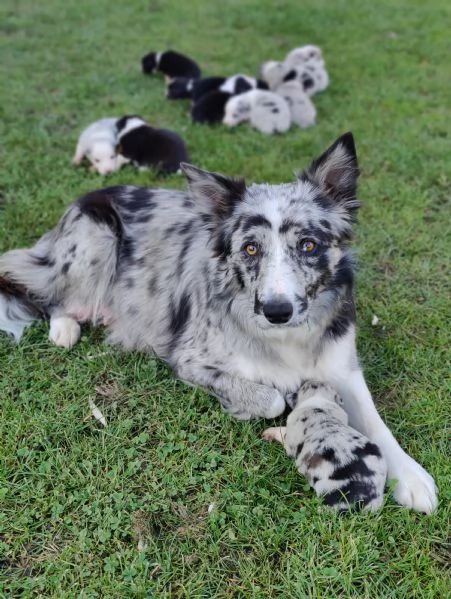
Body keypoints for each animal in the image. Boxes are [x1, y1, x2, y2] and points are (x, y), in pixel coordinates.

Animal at [0, 134, 438, 512]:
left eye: (308, 245)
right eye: (251, 248)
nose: (276, 310)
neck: (286, 337)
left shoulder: (341, 364)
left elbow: (375, 422)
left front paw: (411, 476)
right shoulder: (190, 360)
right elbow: (271, 397)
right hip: (97, 241)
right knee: (49, 292)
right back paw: (64, 328)